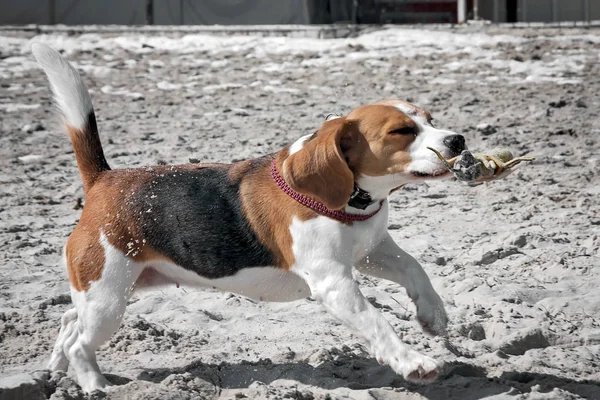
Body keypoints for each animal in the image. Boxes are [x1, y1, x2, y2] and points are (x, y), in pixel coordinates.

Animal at [30, 43, 466, 390]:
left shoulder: (371, 251)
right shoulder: (334, 283)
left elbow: (415, 268)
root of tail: (104, 179)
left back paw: (55, 371)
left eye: (430, 120)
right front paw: (413, 362)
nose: (458, 139)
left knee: (68, 320)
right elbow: (376, 321)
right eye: (402, 132)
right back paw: (94, 385)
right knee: (79, 341)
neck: (354, 203)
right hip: (108, 299)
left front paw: (433, 315)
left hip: (112, 291)